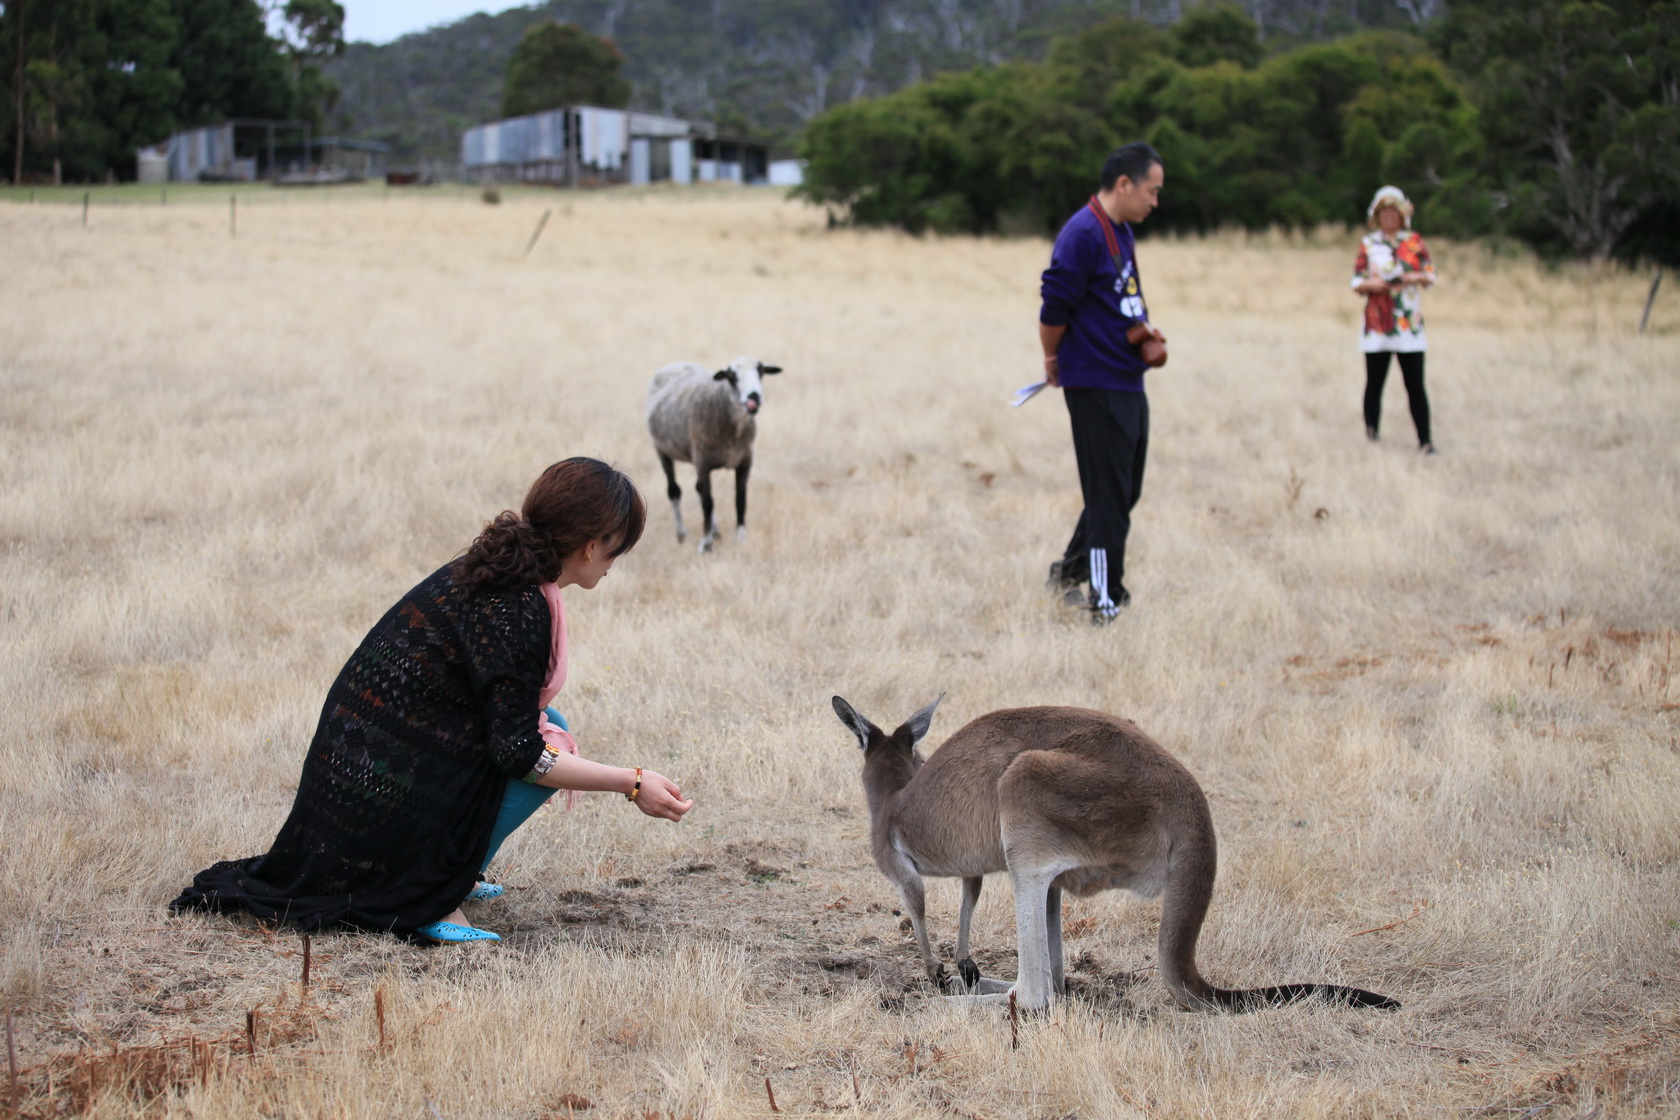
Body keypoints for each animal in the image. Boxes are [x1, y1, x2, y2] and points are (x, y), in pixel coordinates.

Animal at [645, 359, 782, 550]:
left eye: (761, 371)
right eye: (732, 376)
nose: (753, 397)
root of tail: (675, 364)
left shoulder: (744, 462)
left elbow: (740, 499)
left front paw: (740, 537)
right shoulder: (703, 463)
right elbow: (708, 502)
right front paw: (705, 543)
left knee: (698, 489)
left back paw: (714, 530)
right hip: (663, 451)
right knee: (674, 491)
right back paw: (682, 533)